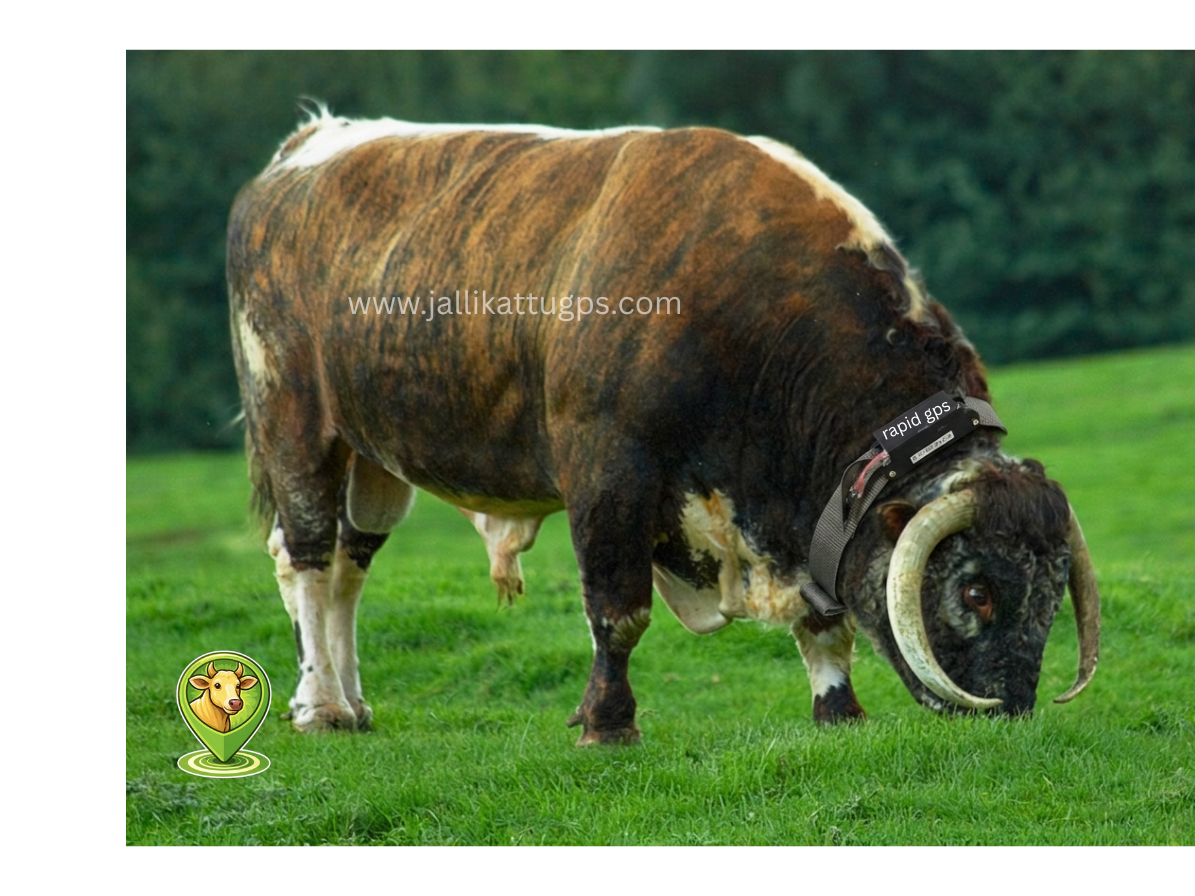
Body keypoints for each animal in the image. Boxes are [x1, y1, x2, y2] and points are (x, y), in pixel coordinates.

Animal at [227, 107, 1100, 743]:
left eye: (1052, 588)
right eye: (974, 588)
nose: (1014, 710)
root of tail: (305, 145)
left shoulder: (793, 508)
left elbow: (823, 619)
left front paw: (837, 709)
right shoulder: (607, 470)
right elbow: (617, 611)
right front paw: (606, 723)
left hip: (372, 458)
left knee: (349, 565)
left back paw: (351, 703)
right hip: (293, 419)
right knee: (305, 556)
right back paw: (320, 708)